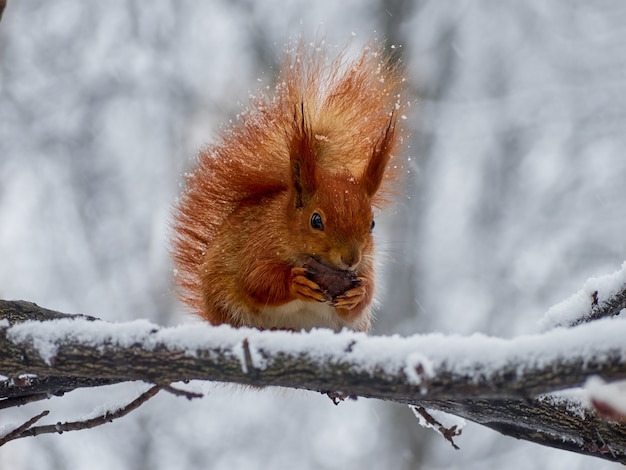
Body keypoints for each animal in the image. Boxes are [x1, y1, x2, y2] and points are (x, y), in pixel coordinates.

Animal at [171, 42, 404, 332]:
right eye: (316, 220)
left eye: (372, 224)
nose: (351, 259)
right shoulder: (257, 245)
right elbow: (257, 279)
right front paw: (296, 283)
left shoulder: (366, 268)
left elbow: (366, 295)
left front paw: (357, 294)